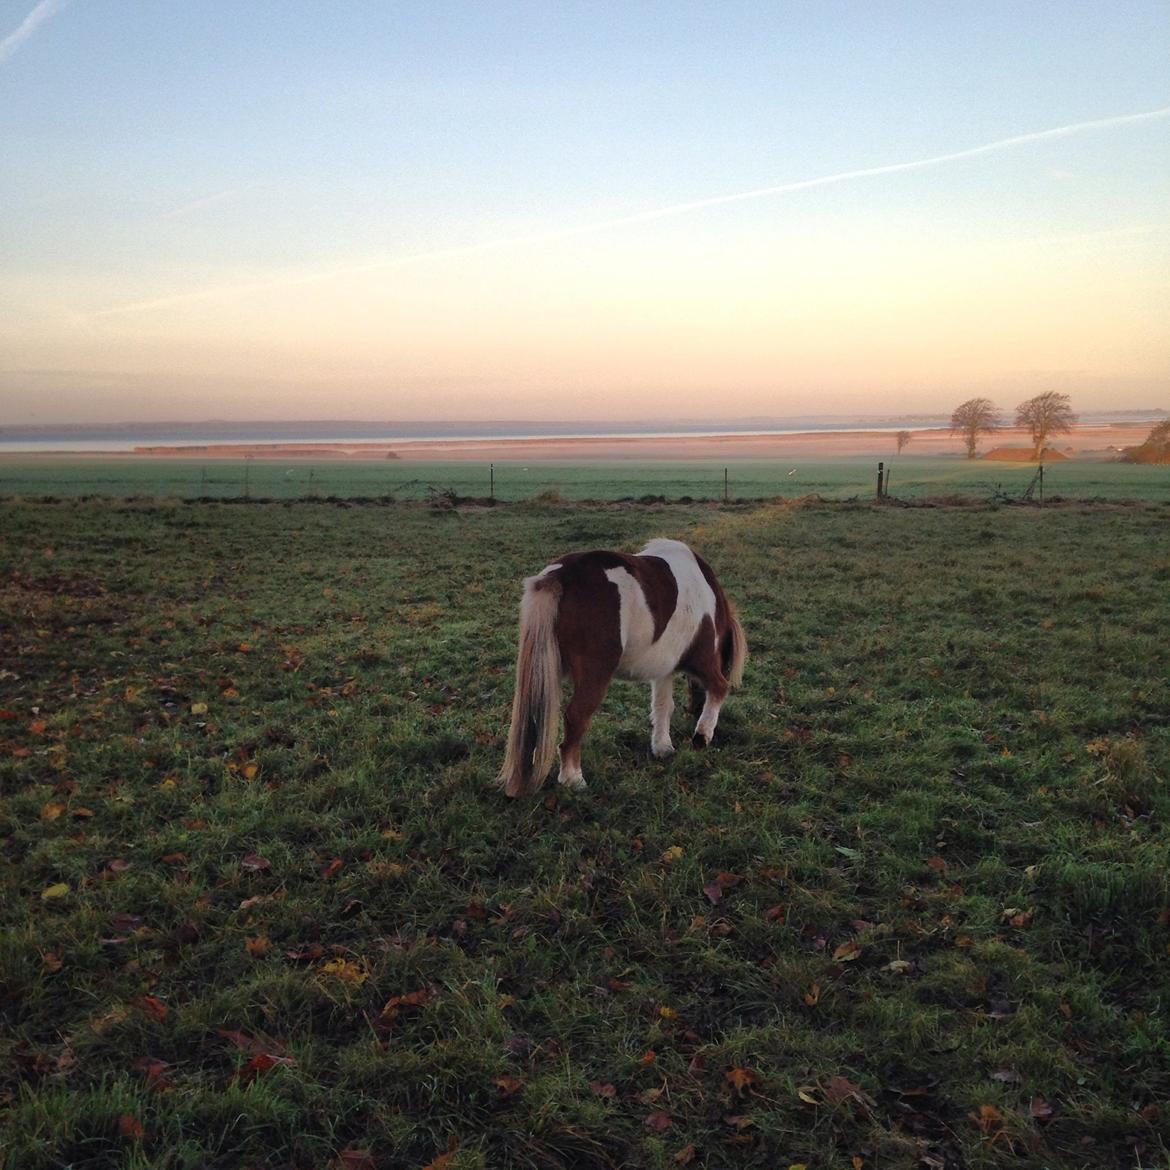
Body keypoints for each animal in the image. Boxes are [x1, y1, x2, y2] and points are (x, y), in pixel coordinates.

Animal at [498, 535, 744, 795]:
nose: (694, 713)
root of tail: (560, 576)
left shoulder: (664, 670)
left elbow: (663, 706)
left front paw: (662, 747)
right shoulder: (703, 660)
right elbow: (719, 688)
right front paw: (702, 736)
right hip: (594, 676)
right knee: (575, 718)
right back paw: (573, 778)